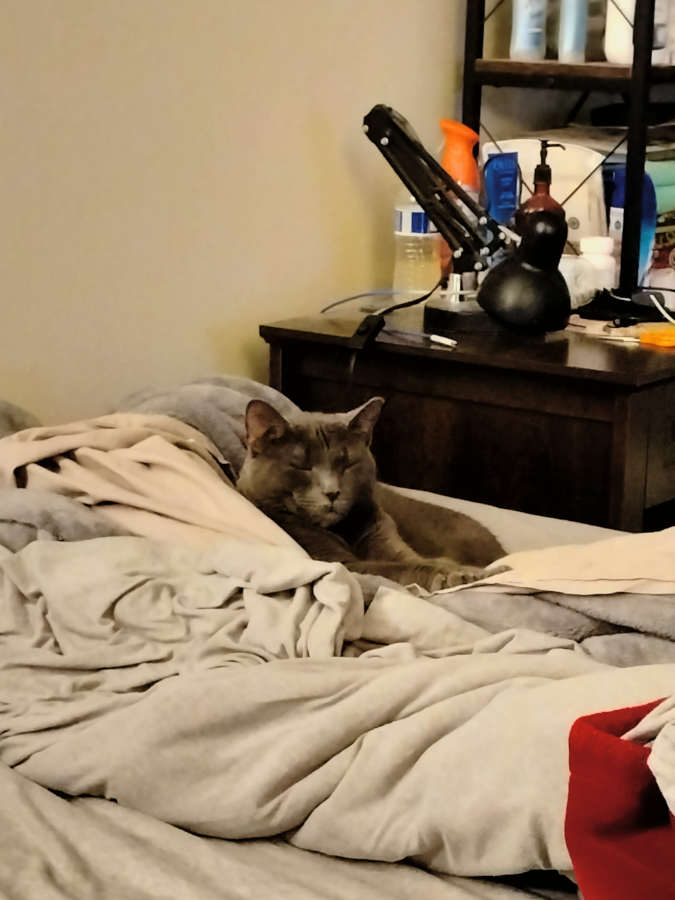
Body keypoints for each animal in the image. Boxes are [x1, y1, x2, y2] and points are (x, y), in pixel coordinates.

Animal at [236, 397, 505, 591]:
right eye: (302, 466)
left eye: (347, 464)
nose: (332, 492)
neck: (344, 530)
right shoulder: (342, 565)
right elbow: (391, 568)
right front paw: (458, 573)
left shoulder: (386, 534)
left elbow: (413, 560)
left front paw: (471, 570)